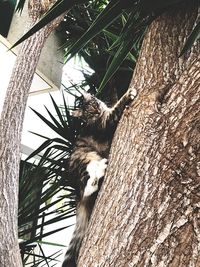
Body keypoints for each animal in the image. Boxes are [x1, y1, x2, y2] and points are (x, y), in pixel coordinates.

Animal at [61, 88, 137, 267]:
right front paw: (129, 94)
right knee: (89, 184)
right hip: (86, 159)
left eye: (95, 104)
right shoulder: (106, 122)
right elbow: (117, 108)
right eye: (90, 113)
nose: (97, 111)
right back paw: (100, 171)